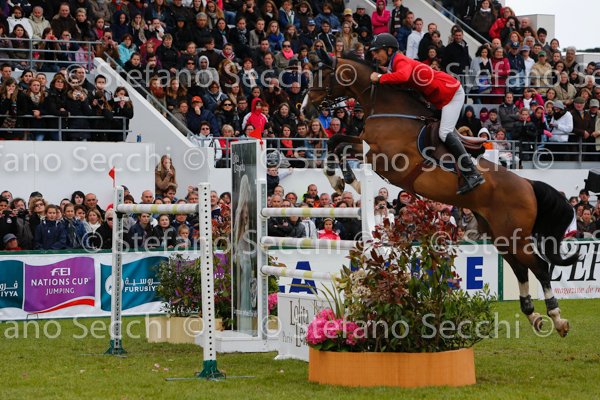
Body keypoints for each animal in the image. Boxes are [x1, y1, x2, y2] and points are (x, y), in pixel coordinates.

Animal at [303, 56, 579, 337]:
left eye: (323, 75)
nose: (305, 109)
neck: (390, 111)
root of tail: (528, 183)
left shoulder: (381, 156)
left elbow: (341, 144)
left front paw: (347, 179)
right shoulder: (367, 146)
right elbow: (337, 141)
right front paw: (340, 180)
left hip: (517, 236)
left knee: (540, 267)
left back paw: (557, 318)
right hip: (501, 235)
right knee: (521, 268)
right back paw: (533, 315)